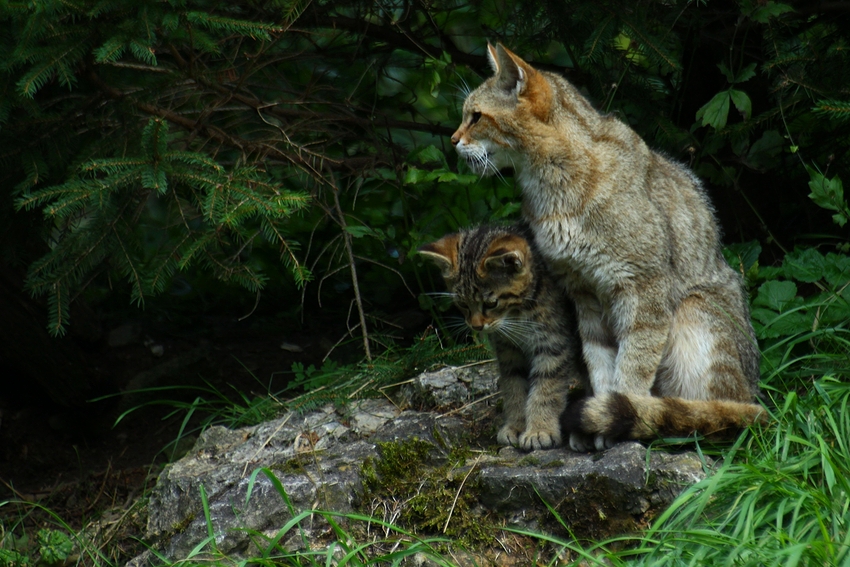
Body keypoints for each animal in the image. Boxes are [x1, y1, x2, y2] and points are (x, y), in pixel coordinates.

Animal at [418, 224, 584, 450]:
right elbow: (514, 387)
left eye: (491, 303)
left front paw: (539, 429)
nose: (476, 326)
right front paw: (516, 426)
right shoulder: (508, 351)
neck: (516, 315)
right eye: (462, 304)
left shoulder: (554, 344)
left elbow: (546, 388)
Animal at [450, 45, 760, 452]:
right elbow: (601, 365)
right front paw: (598, 416)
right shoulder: (584, 294)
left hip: (695, 312)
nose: (452, 139)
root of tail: (755, 394)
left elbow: (631, 367)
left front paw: (618, 418)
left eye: (476, 116)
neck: (550, 187)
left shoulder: (643, 289)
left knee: (720, 417)